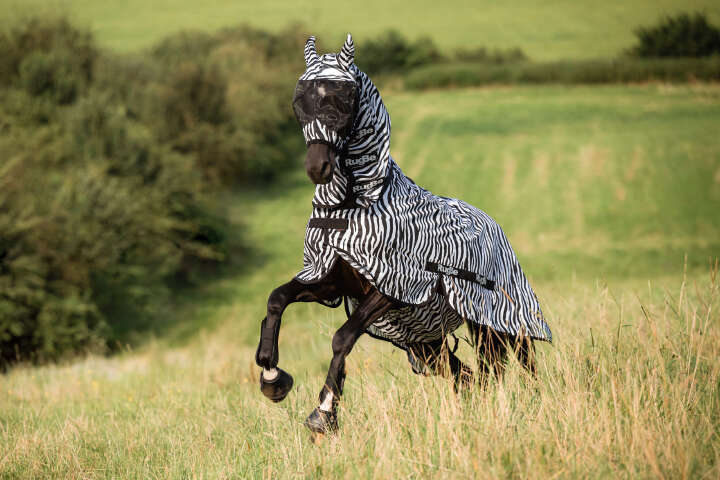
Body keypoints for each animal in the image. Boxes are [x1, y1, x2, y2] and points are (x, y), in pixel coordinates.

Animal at [255, 34, 552, 437]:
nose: (318, 168)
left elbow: (342, 337)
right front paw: (272, 377)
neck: (354, 205)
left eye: (343, 101)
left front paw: (324, 412)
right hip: (427, 345)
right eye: (299, 101)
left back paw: (539, 407)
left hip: (501, 323)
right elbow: (277, 299)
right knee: (470, 377)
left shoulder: (392, 288)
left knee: (524, 365)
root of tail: (493, 224)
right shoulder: (331, 281)